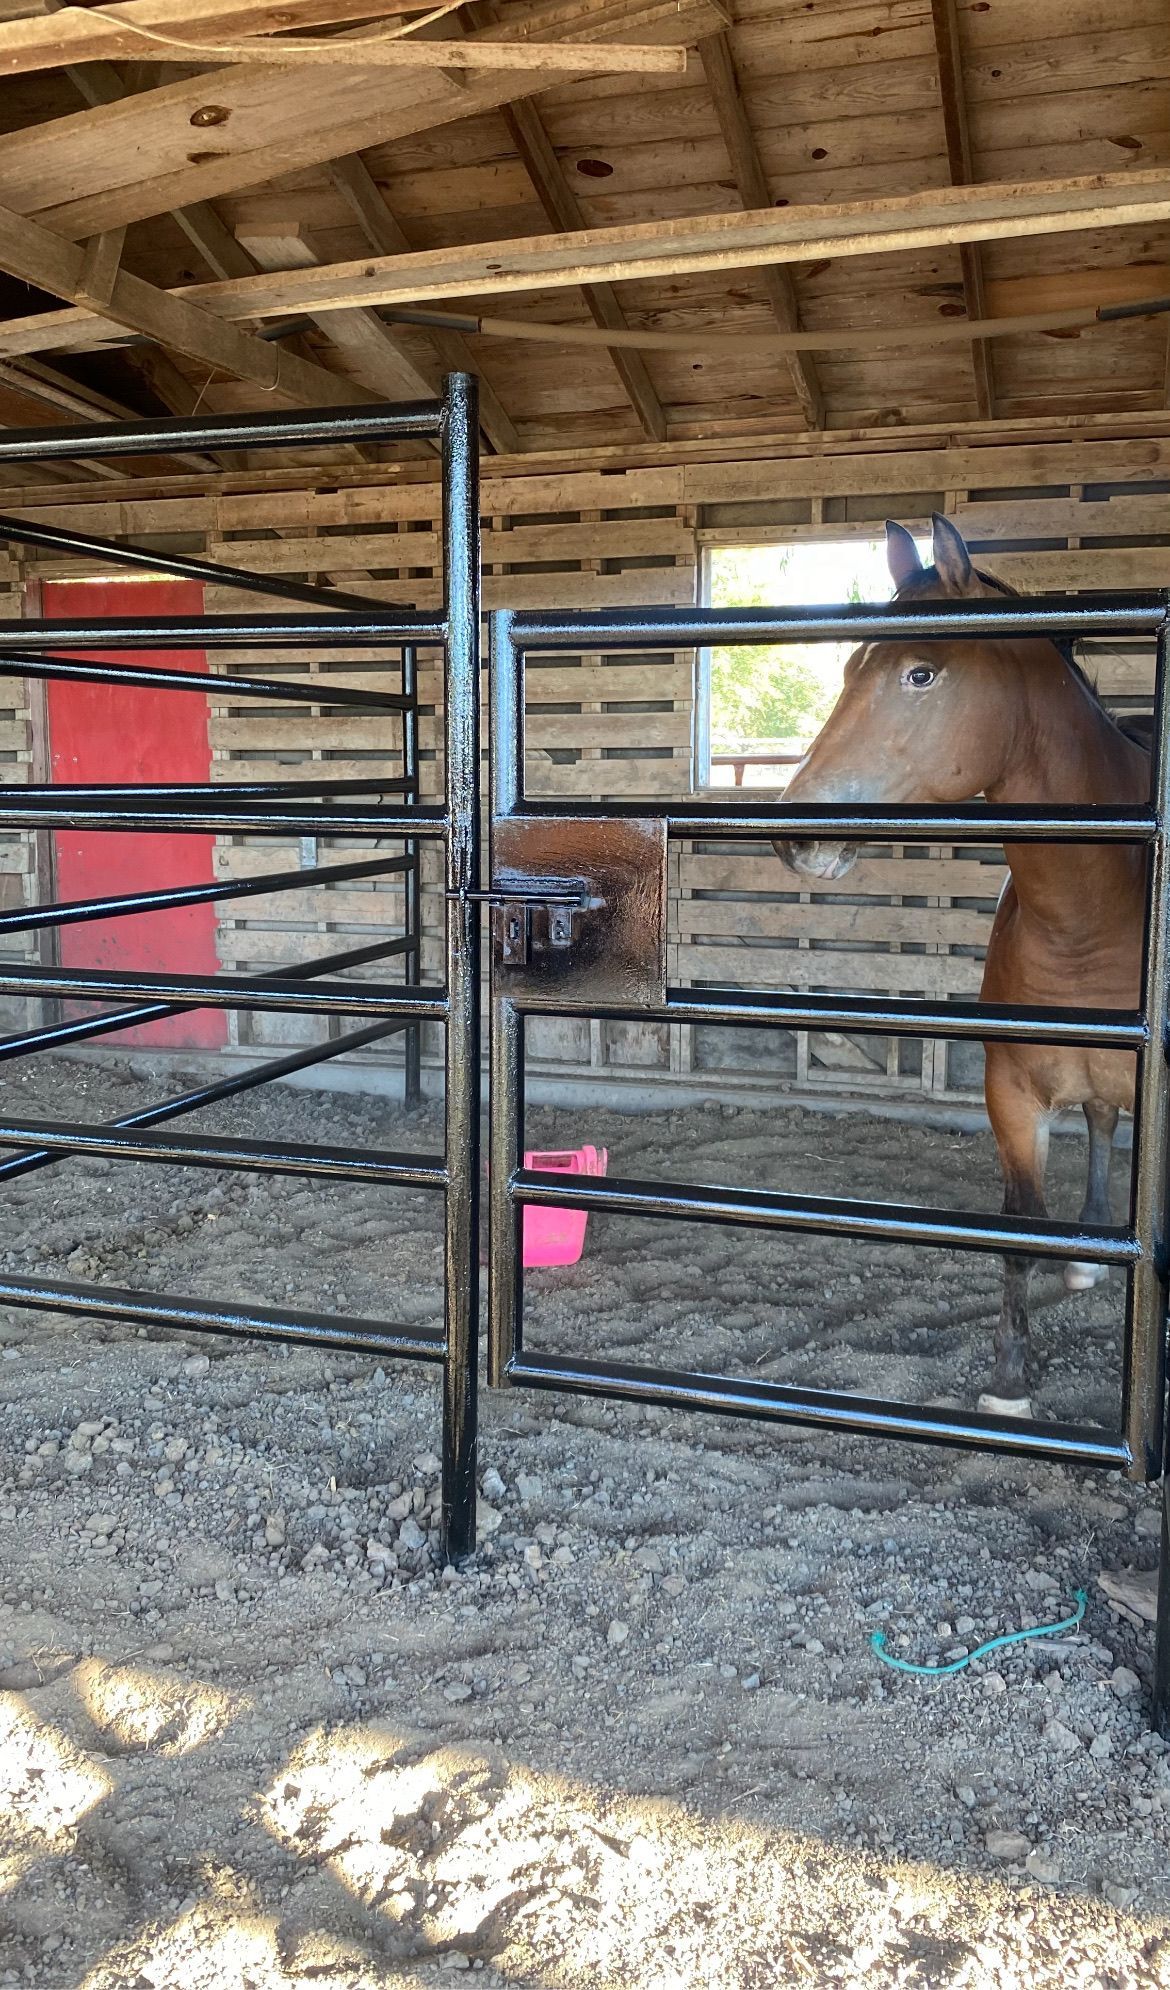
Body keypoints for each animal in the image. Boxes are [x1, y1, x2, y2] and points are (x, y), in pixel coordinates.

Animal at [775, 513, 1148, 1418]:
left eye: (921, 672)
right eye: (850, 667)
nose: (794, 834)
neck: (1092, 914)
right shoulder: (1011, 1095)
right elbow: (1014, 1231)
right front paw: (1010, 1381)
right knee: (1098, 1122)